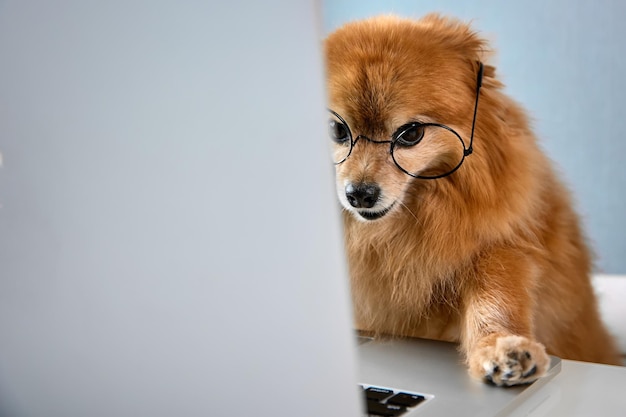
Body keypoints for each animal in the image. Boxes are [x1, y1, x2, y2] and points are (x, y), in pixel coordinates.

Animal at [322, 14, 620, 386]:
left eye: (411, 134)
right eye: (337, 130)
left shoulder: (498, 248)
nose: (360, 193)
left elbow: (495, 298)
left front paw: (503, 346)